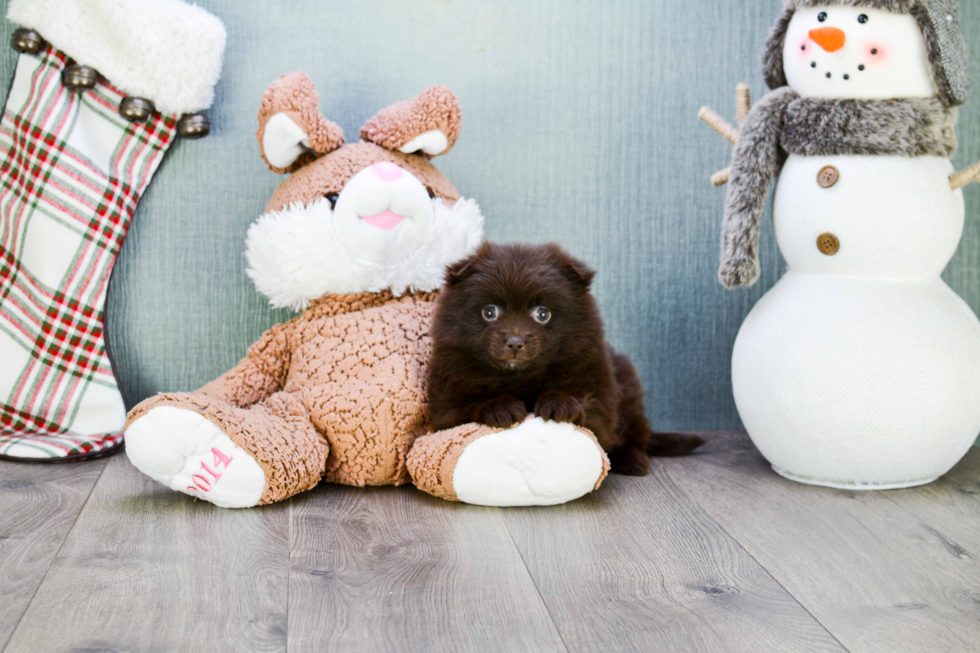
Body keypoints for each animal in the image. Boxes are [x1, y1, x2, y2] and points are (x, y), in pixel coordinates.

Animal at [428, 241, 704, 474]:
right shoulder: (446, 403)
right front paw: (500, 406)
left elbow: (593, 413)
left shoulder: (598, 388)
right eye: (489, 312)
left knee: (636, 435)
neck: (522, 377)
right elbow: (469, 406)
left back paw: (633, 461)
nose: (515, 342)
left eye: (542, 314)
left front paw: (559, 404)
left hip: (629, 388)